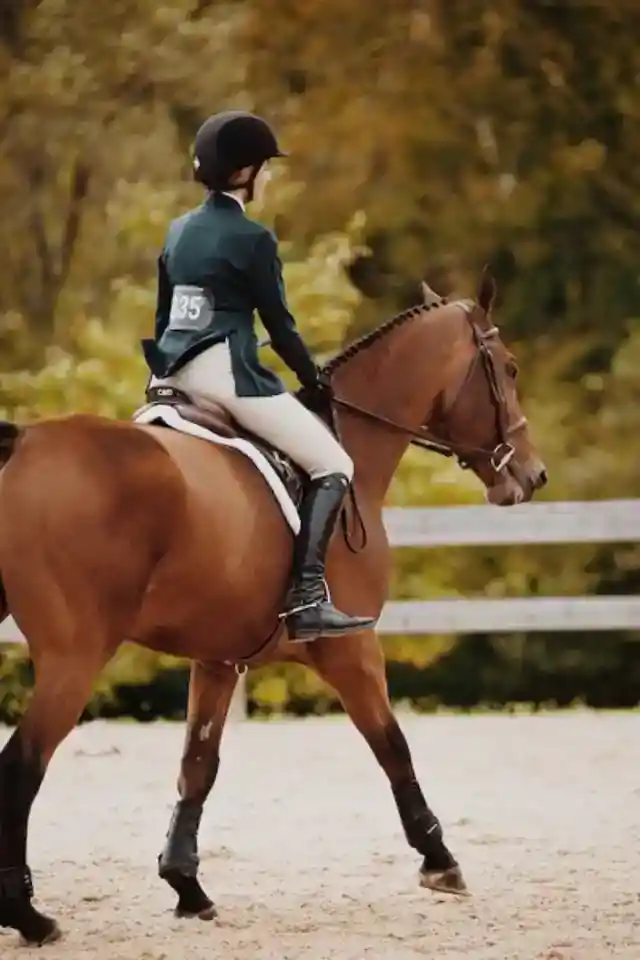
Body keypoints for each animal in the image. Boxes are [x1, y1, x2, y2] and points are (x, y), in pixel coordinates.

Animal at [0, 270, 547, 945]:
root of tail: (24, 442)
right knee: (21, 767)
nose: (533, 475)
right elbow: (392, 745)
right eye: (510, 368)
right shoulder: (350, 648)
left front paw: (187, 887)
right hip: (74, 658)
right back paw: (28, 915)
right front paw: (440, 861)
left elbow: (198, 764)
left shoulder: (217, 660)